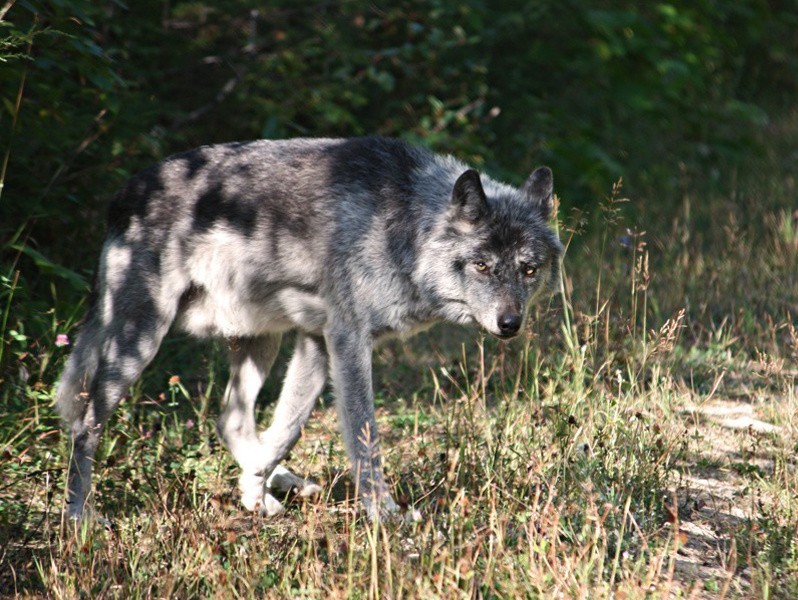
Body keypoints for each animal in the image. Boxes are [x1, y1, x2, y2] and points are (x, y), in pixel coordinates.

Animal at [54, 136, 564, 520]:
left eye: (529, 270)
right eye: (481, 266)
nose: (510, 324)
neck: (401, 227)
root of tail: (126, 193)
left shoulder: (317, 342)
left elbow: (288, 429)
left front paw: (255, 488)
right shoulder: (346, 341)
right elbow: (363, 436)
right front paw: (385, 515)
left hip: (262, 341)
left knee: (230, 418)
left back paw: (273, 486)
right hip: (139, 342)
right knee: (84, 425)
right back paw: (80, 517)